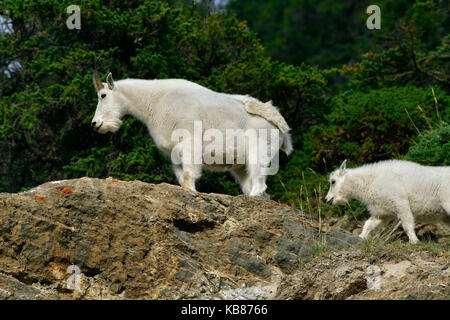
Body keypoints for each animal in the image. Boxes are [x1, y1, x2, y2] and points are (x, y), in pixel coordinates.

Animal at [91, 71, 294, 196]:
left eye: (103, 95)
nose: (95, 124)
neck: (155, 102)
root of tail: (282, 129)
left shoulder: (190, 142)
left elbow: (189, 175)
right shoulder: (173, 151)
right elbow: (181, 178)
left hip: (259, 151)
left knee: (259, 183)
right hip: (240, 164)